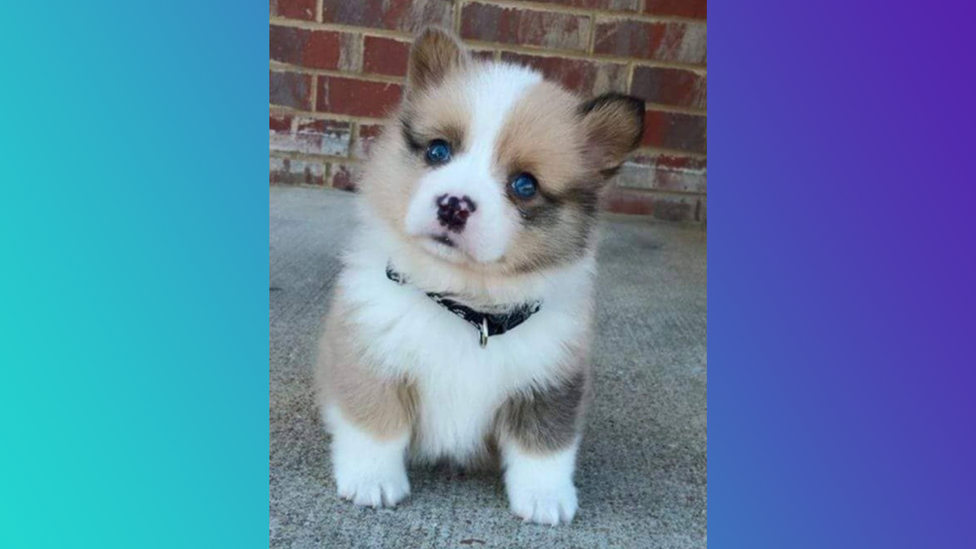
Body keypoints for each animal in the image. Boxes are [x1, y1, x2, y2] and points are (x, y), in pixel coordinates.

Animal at [316, 27, 644, 524]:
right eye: (438, 150)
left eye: (524, 184)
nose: (453, 205)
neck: (467, 305)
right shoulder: (371, 355)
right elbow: (375, 422)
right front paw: (372, 480)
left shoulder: (550, 381)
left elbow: (544, 445)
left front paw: (546, 498)